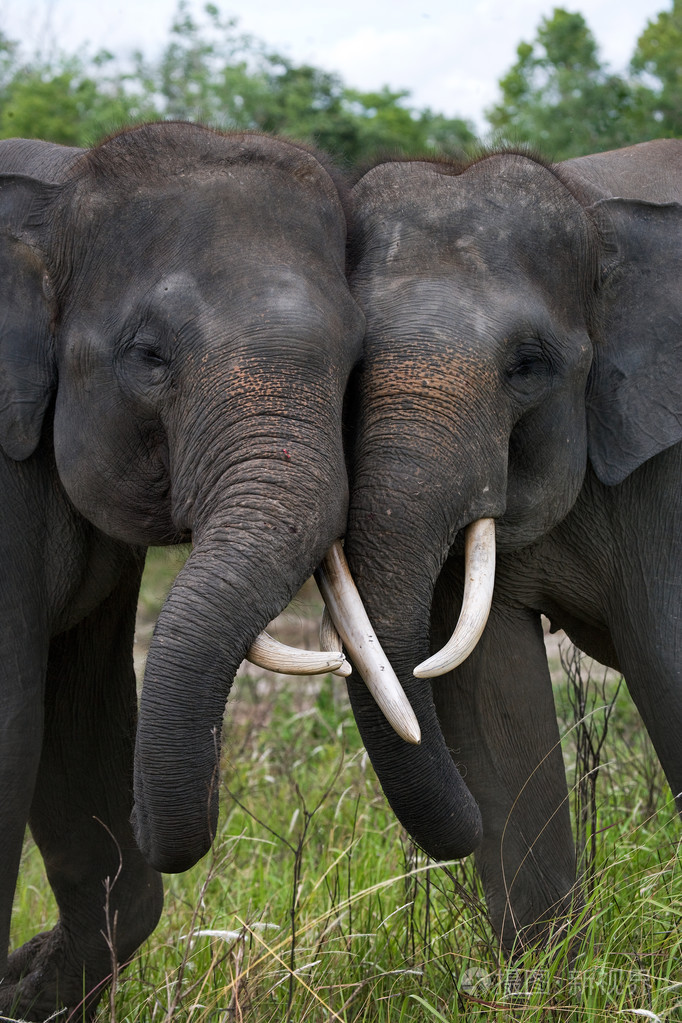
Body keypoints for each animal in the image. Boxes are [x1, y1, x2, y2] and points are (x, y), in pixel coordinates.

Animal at [0, 123, 413, 1018]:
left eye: (357, 359)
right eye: (148, 355)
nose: (146, 811)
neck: (53, 199)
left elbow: (82, 714)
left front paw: (25, 984)